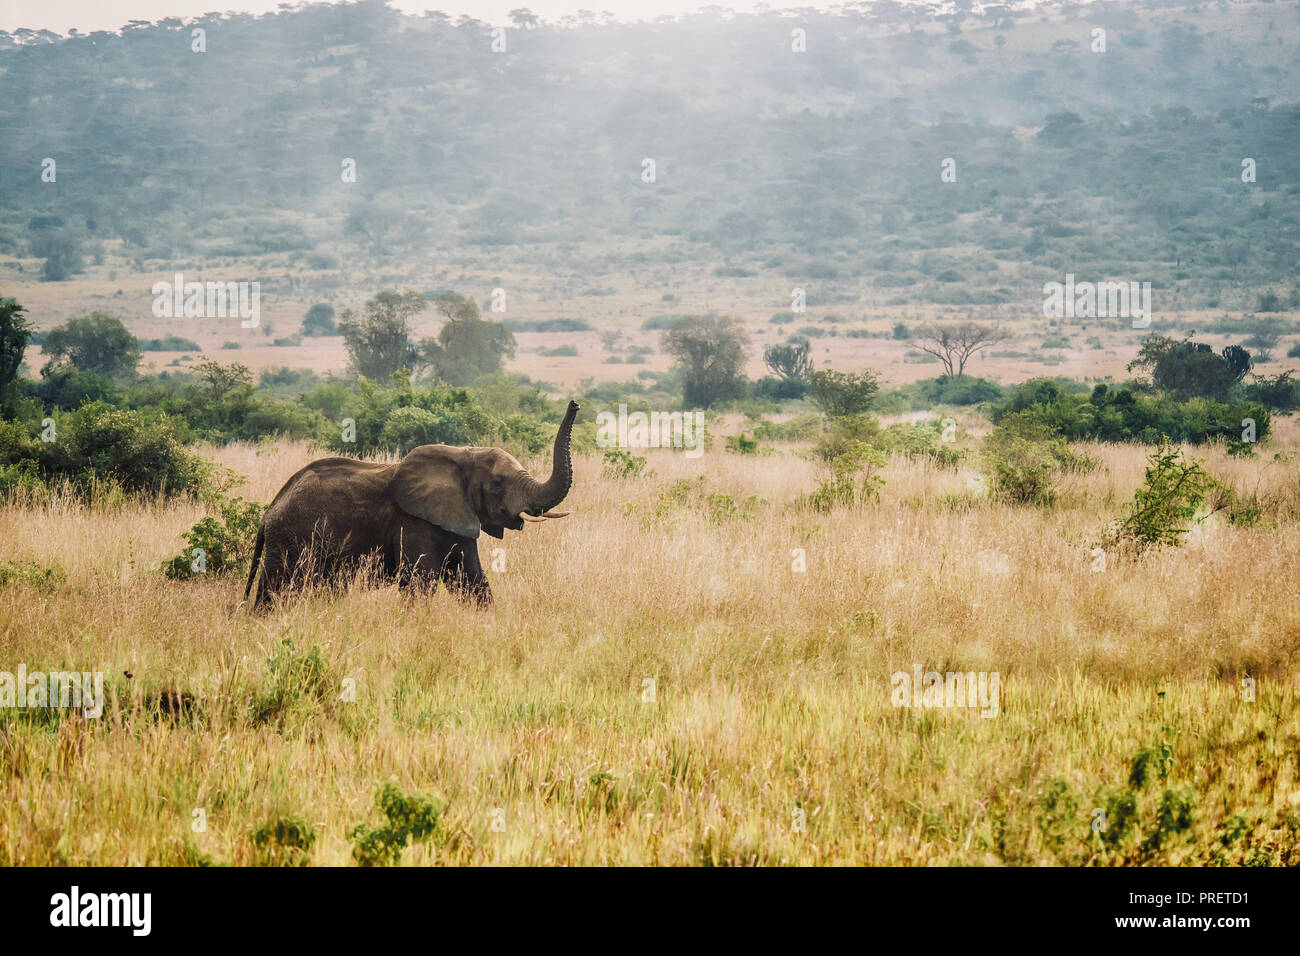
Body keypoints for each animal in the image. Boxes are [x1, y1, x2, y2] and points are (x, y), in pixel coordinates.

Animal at [244, 400, 579, 608]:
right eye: (497, 482)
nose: (575, 404)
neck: (463, 454)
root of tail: (269, 511)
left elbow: (472, 580)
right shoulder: (413, 521)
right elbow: (421, 582)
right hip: (290, 539)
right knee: (275, 589)